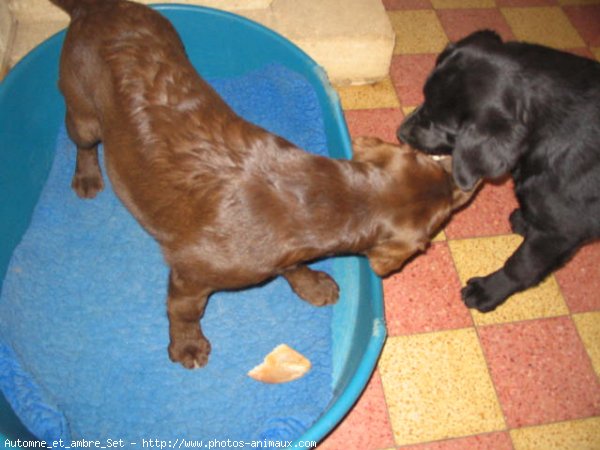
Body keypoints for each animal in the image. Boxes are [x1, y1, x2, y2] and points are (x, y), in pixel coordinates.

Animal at [398, 29, 600, 312]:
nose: (401, 133)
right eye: (424, 99)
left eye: (438, 124)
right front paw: (525, 221)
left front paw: (489, 291)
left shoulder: (562, 231)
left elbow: (522, 265)